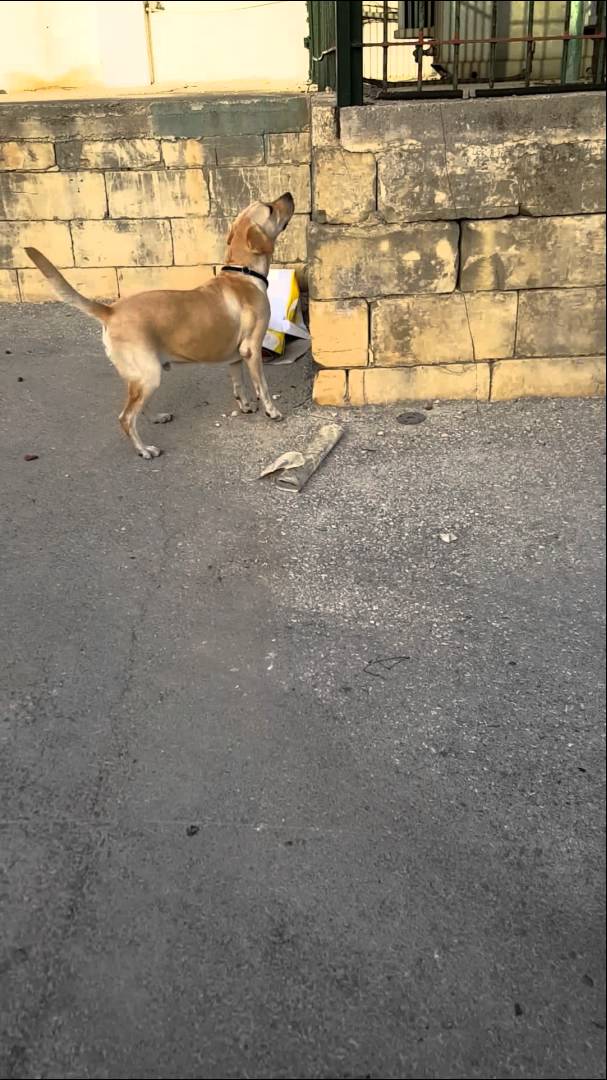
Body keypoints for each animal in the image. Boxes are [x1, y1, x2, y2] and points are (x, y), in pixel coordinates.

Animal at [24, 192, 293, 457]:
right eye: (270, 208)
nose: (289, 195)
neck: (243, 272)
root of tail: (110, 310)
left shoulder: (236, 356)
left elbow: (239, 385)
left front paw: (246, 406)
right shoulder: (252, 350)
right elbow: (262, 386)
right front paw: (272, 411)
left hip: (141, 377)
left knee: (137, 407)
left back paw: (156, 418)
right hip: (149, 375)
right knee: (126, 418)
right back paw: (144, 450)